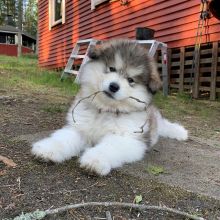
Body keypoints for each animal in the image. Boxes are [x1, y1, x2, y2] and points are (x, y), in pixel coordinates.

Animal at [31, 39, 188, 175]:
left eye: (130, 80)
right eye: (112, 68)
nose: (114, 86)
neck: (105, 109)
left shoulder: (127, 139)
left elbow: (108, 147)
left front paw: (94, 160)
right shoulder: (79, 129)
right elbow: (63, 139)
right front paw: (47, 148)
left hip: (155, 122)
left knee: (165, 125)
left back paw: (180, 132)